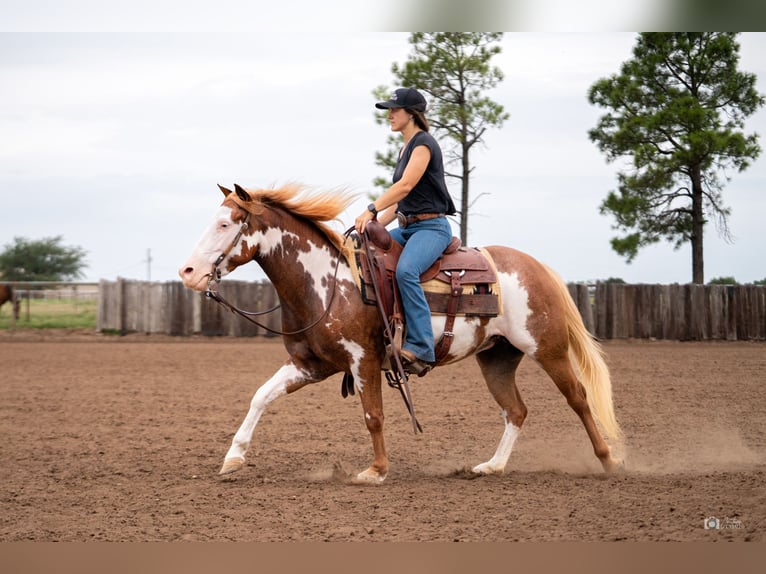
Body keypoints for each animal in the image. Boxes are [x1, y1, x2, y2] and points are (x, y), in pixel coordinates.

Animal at [180, 186, 624, 486]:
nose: (188, 272)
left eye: (224, 224)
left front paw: (376, 470)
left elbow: (372, 415)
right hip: (497, 357)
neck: (326, 282)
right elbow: (260, 396)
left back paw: (608, 461)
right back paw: (492, 466)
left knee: (578, 398)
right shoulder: (309, 365)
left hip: (548, 349)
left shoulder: (363, 359)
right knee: (515, 410)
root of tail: (537, 267)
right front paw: (233, 459)